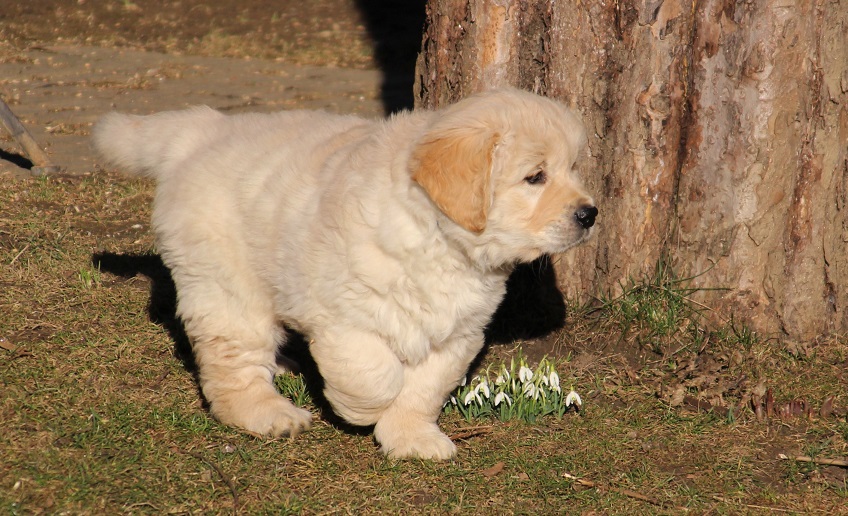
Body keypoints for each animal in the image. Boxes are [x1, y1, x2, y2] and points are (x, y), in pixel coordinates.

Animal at [93, 88, 597, 460]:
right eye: (535, 177)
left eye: (574, 169)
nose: (590, 214)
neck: (439, 238)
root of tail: (203, 130)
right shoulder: (345, 318)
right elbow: (375, 375)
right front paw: (358, 412)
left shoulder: (458, 332)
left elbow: (423, 388)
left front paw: (411, 437)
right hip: (227, 286)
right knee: (234, 363)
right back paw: (268, 414)